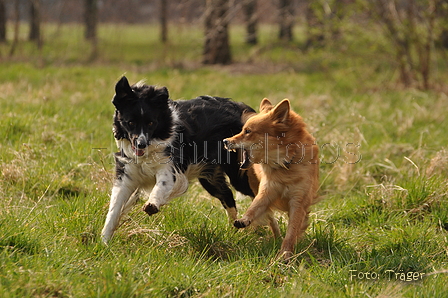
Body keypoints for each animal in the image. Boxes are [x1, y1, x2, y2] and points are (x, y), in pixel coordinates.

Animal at [101, 76, 256, 242]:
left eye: (151, 123)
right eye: (130, 122)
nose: (140, 144)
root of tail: (242, 109)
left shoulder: (169, 167)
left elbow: (161, 185)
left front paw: (152, 204)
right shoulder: (127, 174)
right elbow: (114, 208)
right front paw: (104, 241)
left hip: (238, 174)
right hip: (210, 178)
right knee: (227, 195)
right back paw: (233, 228)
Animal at [224, 98, 318, 260]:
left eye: (247, 131)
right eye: (242, 130)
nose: (225, 141)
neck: (285, 164)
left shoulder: (298, 201)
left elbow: (292, 230)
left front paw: (285, 253)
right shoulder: (267, 191)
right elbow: (254, 207)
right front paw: (244, 220)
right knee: (271, 219)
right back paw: (276, 237)